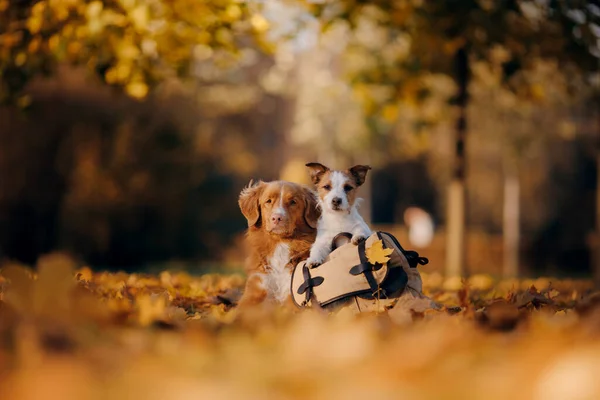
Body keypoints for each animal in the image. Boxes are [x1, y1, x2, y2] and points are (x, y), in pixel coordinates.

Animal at [236, 180, 318, 308]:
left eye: (293, 202)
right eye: (268, 201)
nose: (277, 218)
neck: (280, 243)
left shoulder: (292, 296)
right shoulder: (254, 290)